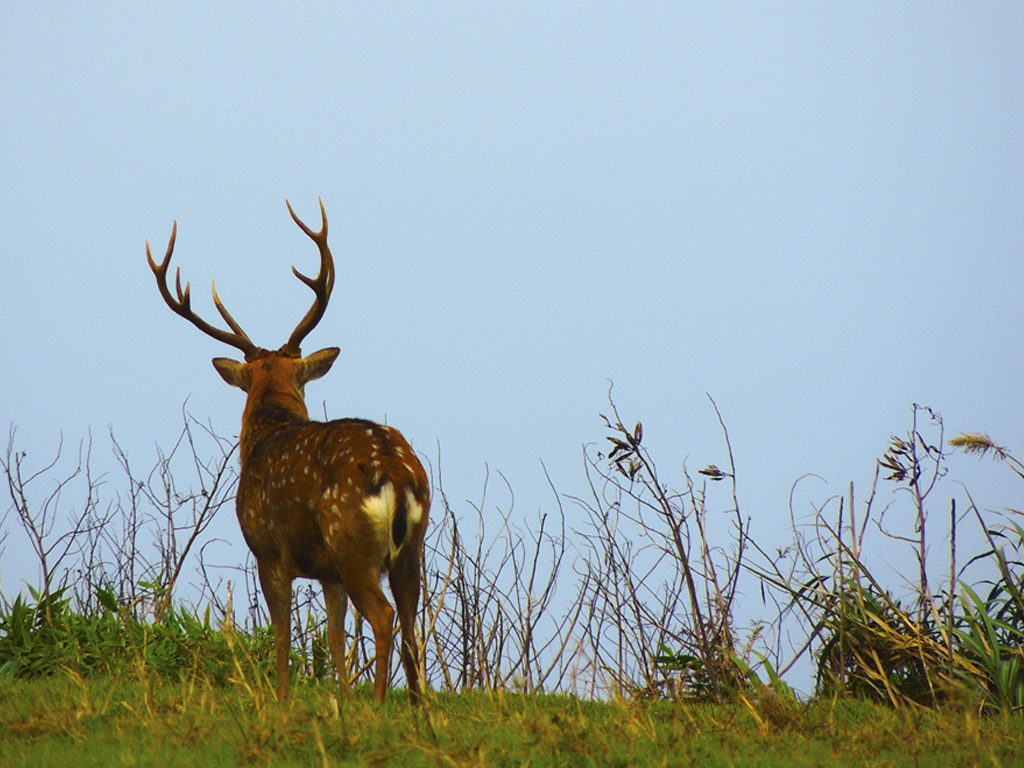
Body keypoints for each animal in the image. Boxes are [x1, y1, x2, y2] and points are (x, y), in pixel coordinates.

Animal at [145, 201, 428, 708]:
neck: (266, 436)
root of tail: (395, 472)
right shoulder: (328, 573)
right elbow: (333, 638)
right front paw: (341, 699)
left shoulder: (269, 550)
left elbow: (281, 634)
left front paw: (280, 700)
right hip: (410, 549)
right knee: (412, 620)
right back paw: (417, 707)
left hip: (352, 541)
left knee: (383, 616)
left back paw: (380, 704)